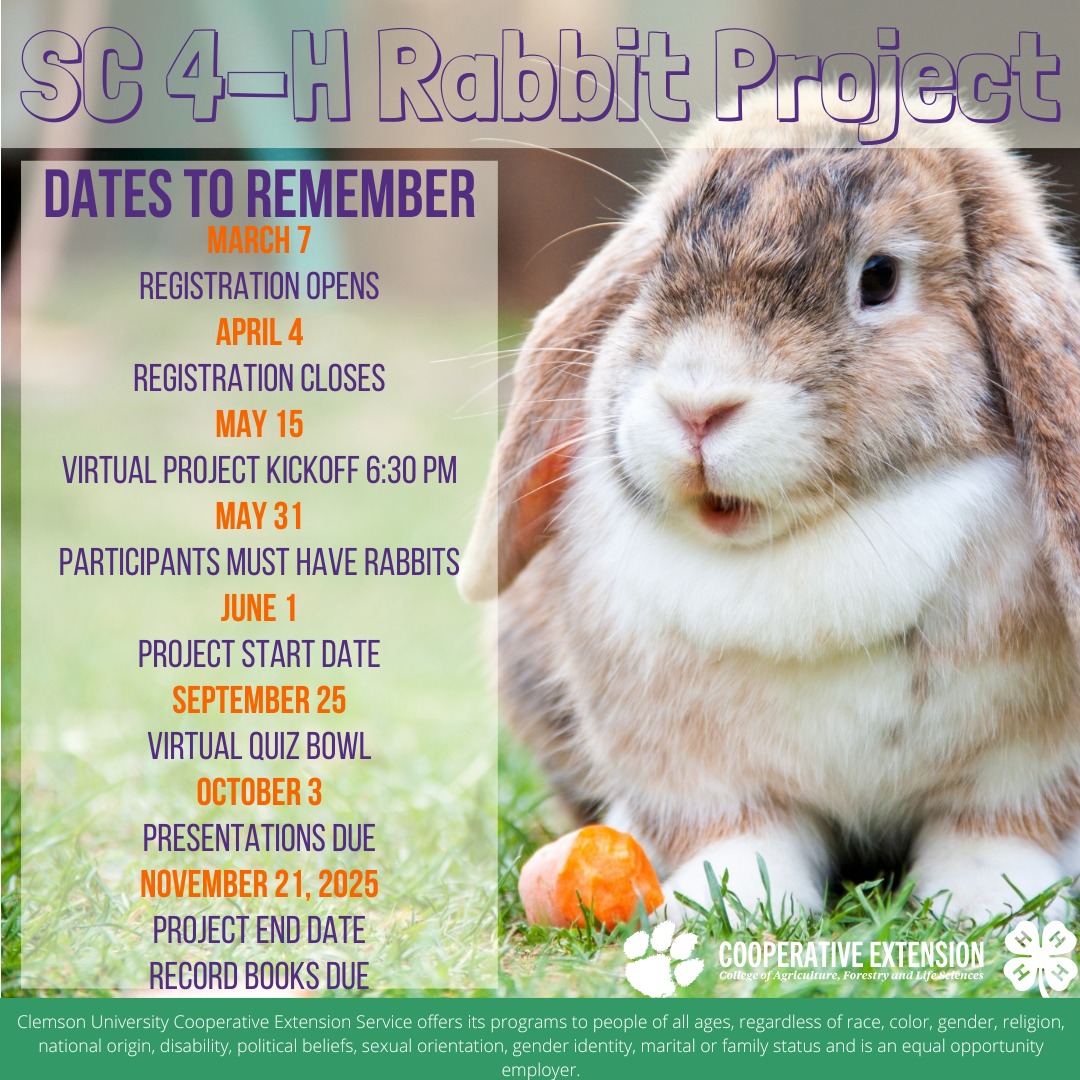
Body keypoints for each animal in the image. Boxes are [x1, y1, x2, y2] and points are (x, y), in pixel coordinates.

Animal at [461, 92, 1080, 926]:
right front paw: (728, 903)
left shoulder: (1019, 769)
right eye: (659, 260)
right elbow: (741, 832)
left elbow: (994, 830)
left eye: (879, 277)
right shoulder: (693, 768)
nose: (697, 407)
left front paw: (989, 905)